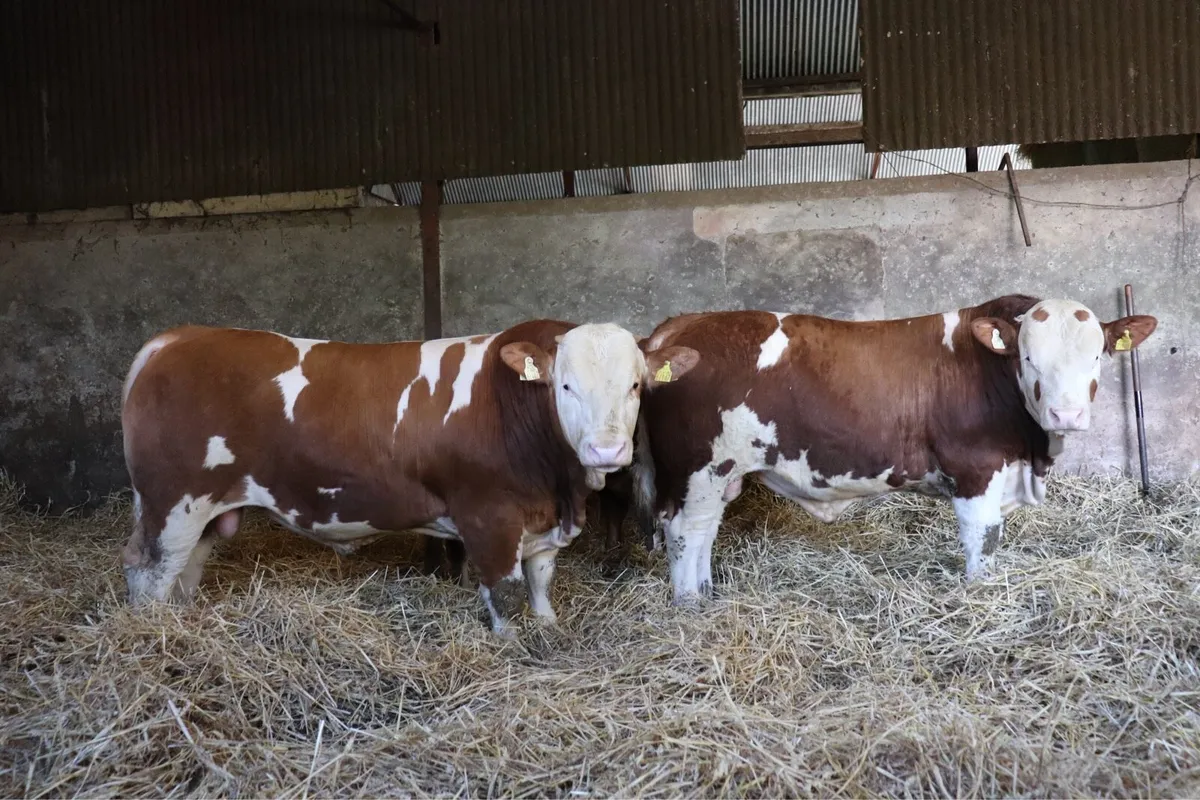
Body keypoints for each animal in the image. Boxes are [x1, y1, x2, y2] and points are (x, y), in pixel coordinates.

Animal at [119, 320, 699, 634]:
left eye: (635, 385)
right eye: (566, 386)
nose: (608, 448)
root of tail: (172, 340)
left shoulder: (542, 522)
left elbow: (539, 582)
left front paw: (549, 627)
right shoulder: (488, 518)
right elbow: (505, 593)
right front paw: (513, 641)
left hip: (202, 509)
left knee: (183, 570)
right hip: (173, 503)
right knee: (151, 573)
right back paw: (156, 633)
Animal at [631, 295, 1157, 602]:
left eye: (1097, 355)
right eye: (1028, 357)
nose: (1066, 415)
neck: (1030, 453)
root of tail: (678, 326)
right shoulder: (975, 470)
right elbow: (983, 542)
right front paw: (979, 594)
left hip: (718, 475)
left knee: (702, 533)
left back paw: (705, 594)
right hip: (696, 468)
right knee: (685, 533)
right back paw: (690, 605)